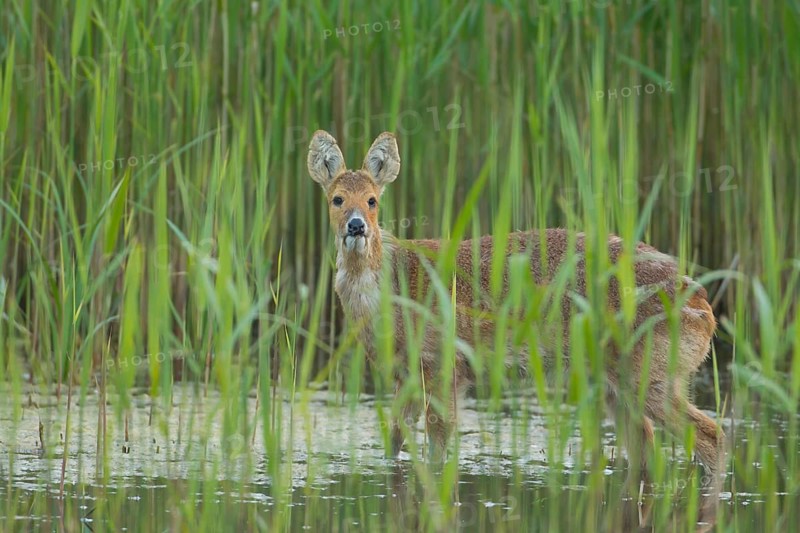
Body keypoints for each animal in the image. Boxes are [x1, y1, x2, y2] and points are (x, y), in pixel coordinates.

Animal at [307, 130, 726, 492]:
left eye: (373, 200)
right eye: (337, 199)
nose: (356, 226)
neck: (392, 288)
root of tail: (704, 307)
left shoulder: (444, 362)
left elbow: (438, 446)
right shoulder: (406, 373)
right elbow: (393, 439)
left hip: (651, 373)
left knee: (711, 435)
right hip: (617, 383)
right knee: (647, 447)